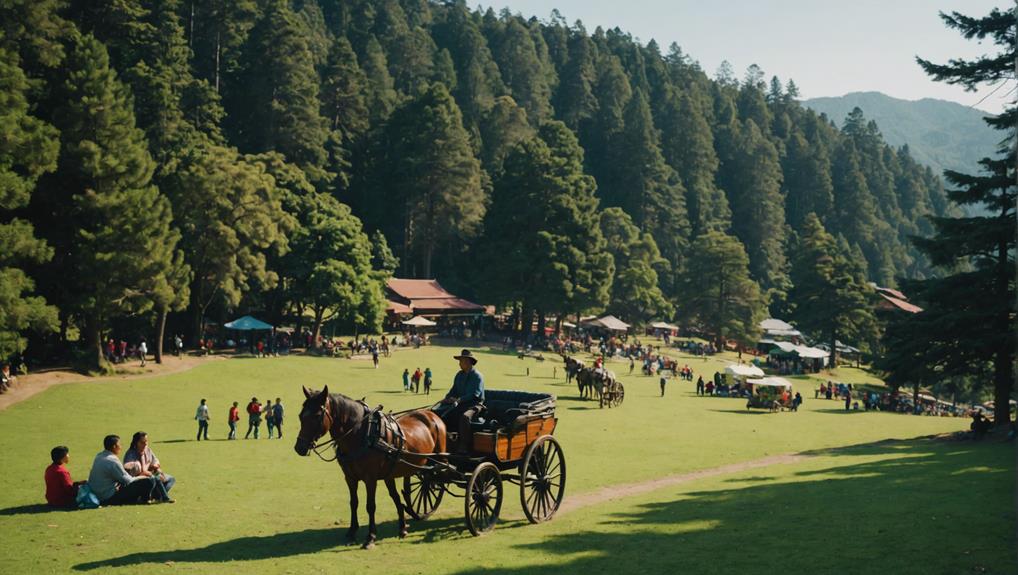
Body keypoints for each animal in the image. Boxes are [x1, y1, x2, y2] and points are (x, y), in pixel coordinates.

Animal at [295, 384, 445, 545]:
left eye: (317, 416)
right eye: (300, 415)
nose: (299, 447)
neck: (361, 435)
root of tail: (432, 415)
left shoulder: (370, 478)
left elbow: (370, 505)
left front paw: (371, 536)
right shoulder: (350, 477)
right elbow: (354, 502)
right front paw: (352, 532)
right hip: (392, 472)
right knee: (397, 495)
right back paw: (402, 527)